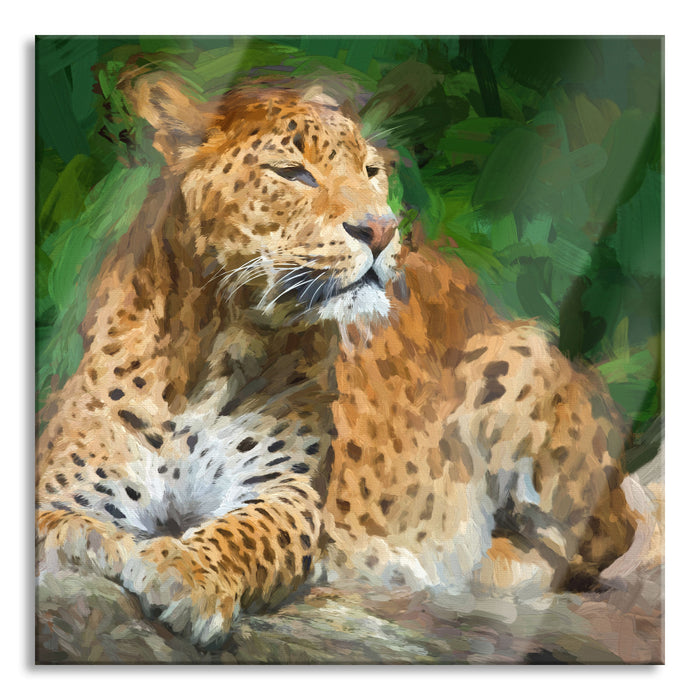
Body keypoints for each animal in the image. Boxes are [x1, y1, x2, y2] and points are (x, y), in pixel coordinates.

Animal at [35, 68, 641, 648]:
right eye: (293, 173)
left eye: (371, 171)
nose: (382, 229)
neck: (213, 347)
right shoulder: (63, 486)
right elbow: (61, 526)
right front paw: (100, 543)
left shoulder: (286, 494)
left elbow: (240, 535)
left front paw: (184, 572)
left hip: (518, 358)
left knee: (591, 540)